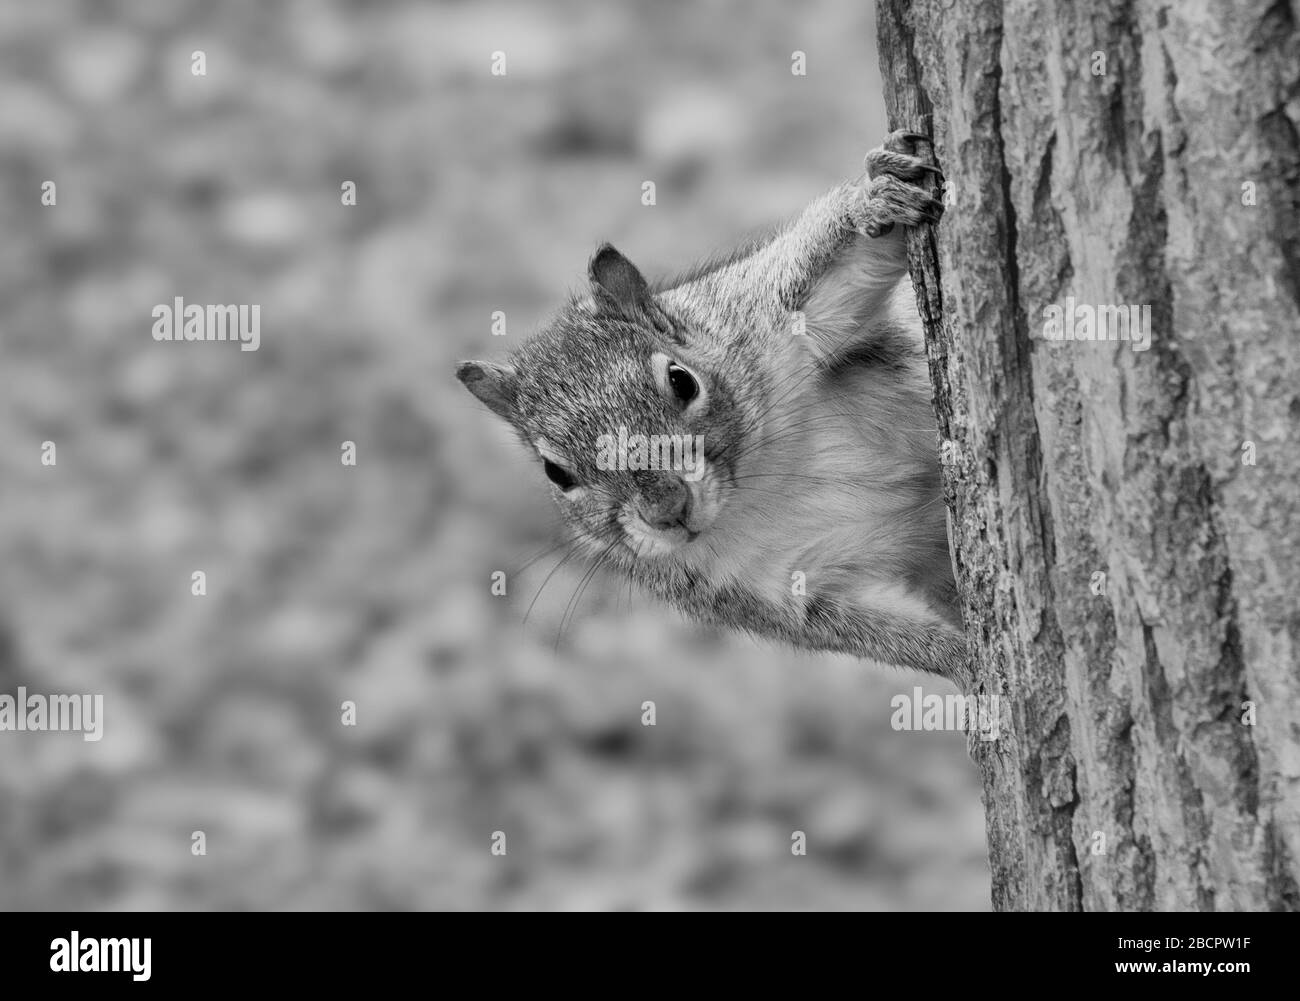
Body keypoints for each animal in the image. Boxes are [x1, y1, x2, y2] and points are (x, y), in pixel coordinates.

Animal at [458, 131, 966, 681]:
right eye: (556, 474)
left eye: (682, 381)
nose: (667, 511)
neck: (753, 489)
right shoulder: (758, 590)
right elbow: (879, 634)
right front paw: (970, 662)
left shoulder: (762, 317)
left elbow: (844, 261)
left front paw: (877, 195)